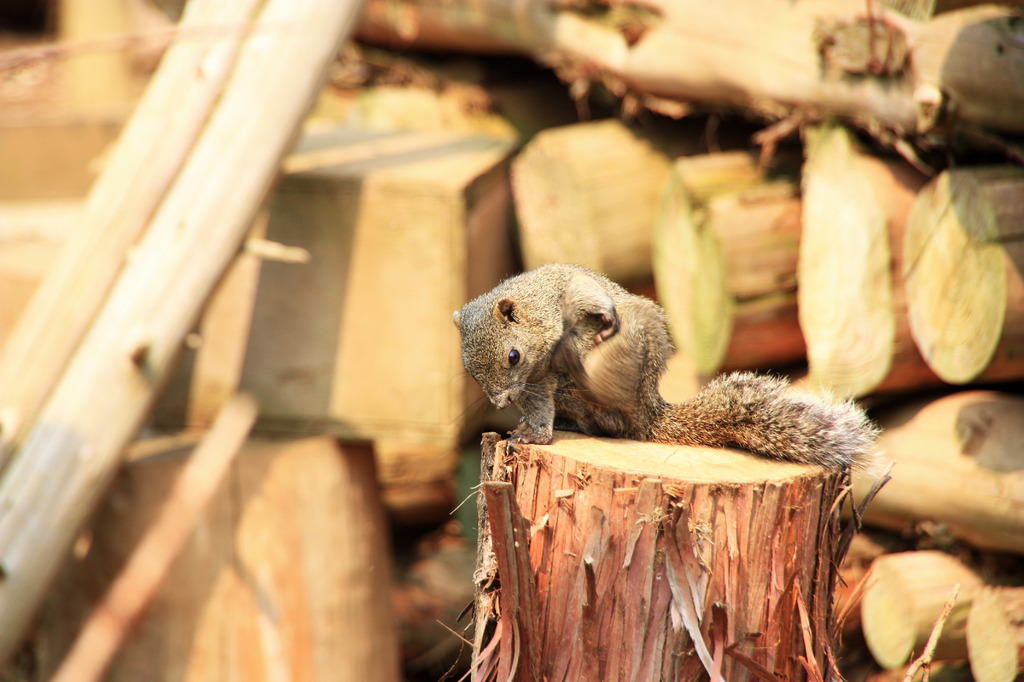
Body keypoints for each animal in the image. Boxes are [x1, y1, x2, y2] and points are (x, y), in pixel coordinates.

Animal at [452, 261, 876, 466]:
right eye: (468, 370)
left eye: (512, 356)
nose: (501, 403)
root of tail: (648, 410)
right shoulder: (535, 382)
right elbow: (539, 407)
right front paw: (529, 431)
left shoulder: (566, 286)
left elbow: (590, 298)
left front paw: (605, 316)